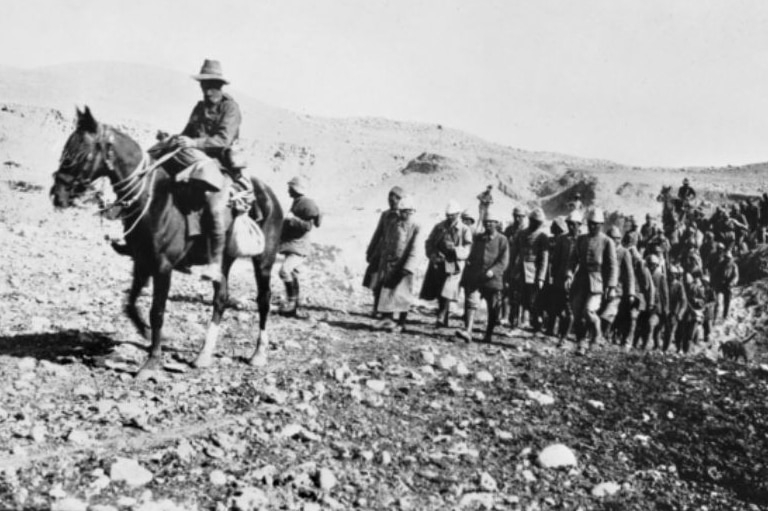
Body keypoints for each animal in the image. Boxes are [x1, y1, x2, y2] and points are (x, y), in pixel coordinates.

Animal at [51, 107, 284, 380]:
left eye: (81, 154)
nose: (57, 194)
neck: (152, 199)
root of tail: (269, 195)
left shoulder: (163, 266)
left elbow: (157, 311)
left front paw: (151, 362)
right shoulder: (142, 262)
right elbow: (130, 303)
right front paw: (149, 335)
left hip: (264, 260)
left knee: (264, 299)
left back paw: (258, 354)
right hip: (224, 261)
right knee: (221, 298)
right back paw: (204, 355)